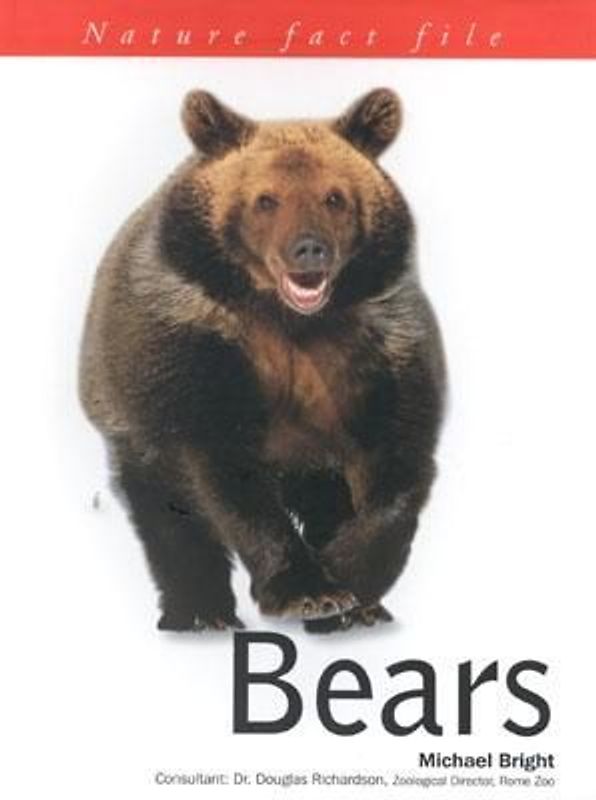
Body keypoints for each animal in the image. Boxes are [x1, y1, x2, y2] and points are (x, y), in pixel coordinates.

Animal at [79, 87, 446, 634]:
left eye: (335, 197)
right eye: (265, 200)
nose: (309, 250)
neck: (291, 320)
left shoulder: (380, 344)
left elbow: (398, 457)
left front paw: (349, 581)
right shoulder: (194, 344)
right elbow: (225, 472)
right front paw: (309, 593)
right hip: (128, 413)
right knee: (165, 512)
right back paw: (199, 612)